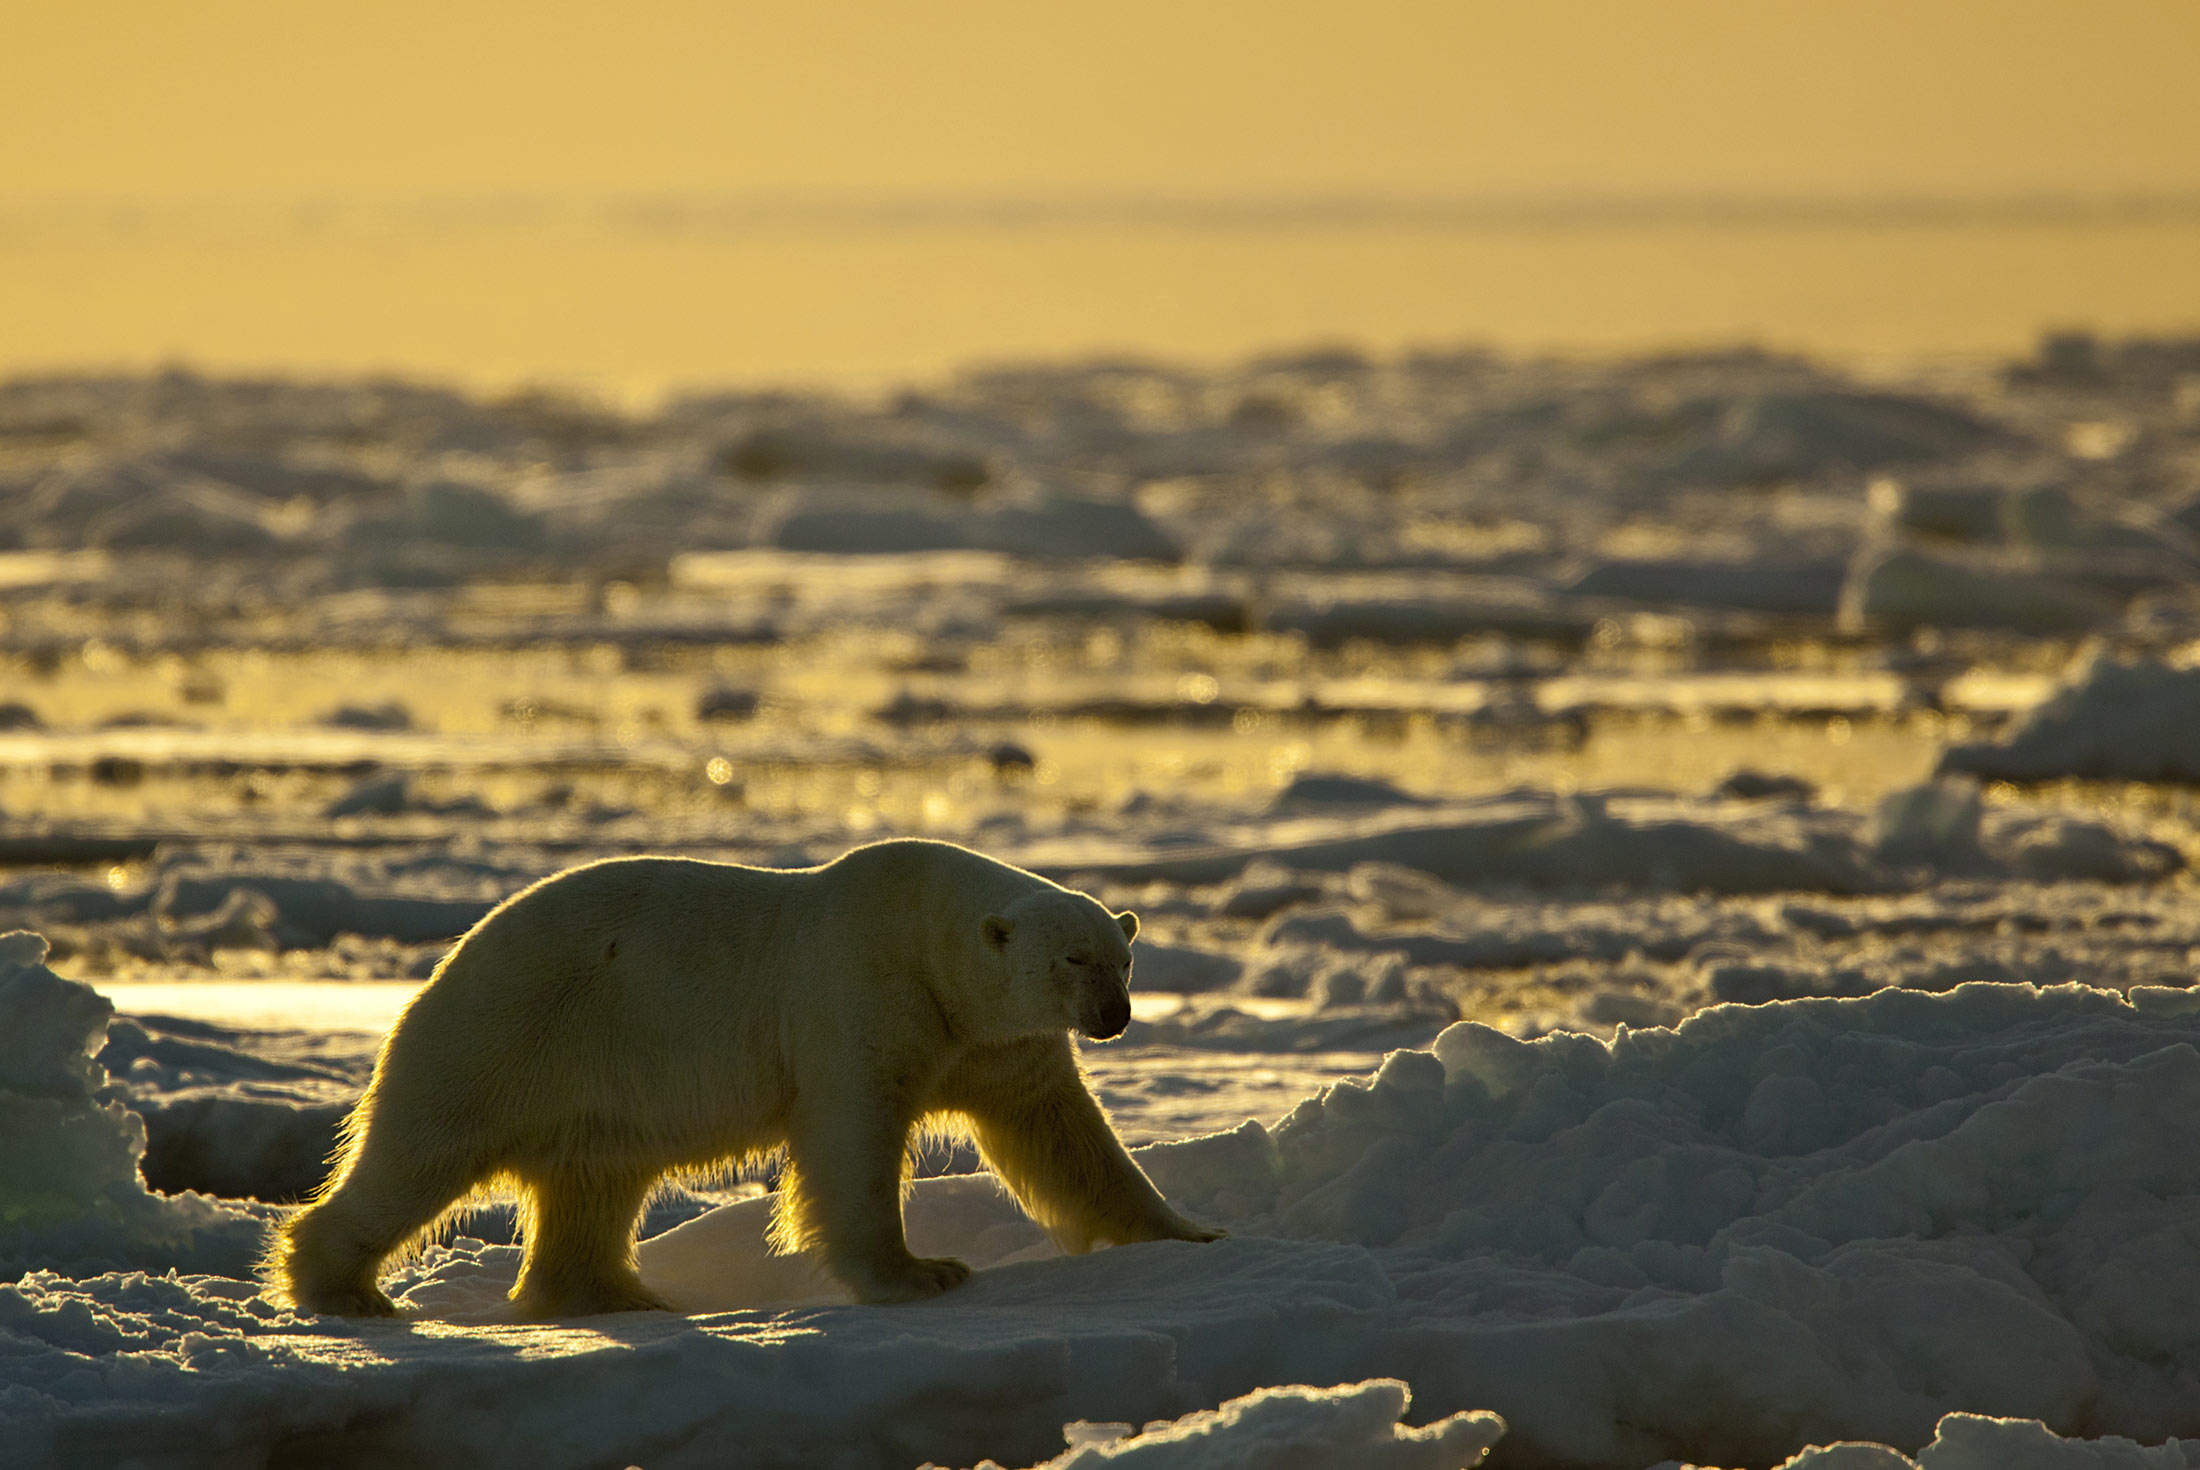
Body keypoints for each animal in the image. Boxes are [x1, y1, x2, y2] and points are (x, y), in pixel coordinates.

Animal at [269, 838, 1221, 1318]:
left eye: (1123, 960)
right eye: (1072, 958)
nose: (1114, 1017)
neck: (926, 937)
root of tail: (446, 963)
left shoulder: (993, 1043)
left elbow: (1064, 1134)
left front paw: (1188, 1232)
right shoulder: (860, 994)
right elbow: (852, 1137)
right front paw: (923, 1272)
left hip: (594, 1081)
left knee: (595, 1181)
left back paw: (616, 1293)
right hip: (506, 1036)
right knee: (419, 1156)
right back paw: (342, 1288)